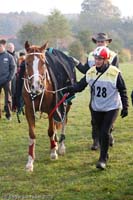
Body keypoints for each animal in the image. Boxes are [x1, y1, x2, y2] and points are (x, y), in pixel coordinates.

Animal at [23, 41, 75, 172]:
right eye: (27, 63)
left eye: (43, 63)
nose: (36, 86)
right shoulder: (29, 110)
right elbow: (32, 134)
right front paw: (30, 161)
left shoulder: (52, 108)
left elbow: (51, 130)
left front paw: (53, 152)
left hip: (66, 103)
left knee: (63, 121)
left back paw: (60, 147)